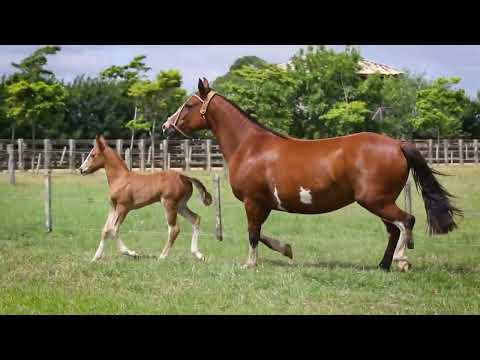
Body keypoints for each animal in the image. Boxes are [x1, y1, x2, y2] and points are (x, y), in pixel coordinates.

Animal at [80, 135, 212, 262]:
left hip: (169, 204)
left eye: (93, 155)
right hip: (180, 205)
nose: (81, 169)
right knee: (195, 219)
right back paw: (198, 254)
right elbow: (105, 230)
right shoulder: (113, 207)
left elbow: (113, 229)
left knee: (174, 229)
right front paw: (95, 258)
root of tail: (184, 177)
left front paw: (132, 253)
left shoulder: (123, 207)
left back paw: (162, 257)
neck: (120, 179)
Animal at [160, 77, 462, 272]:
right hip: (379, 202)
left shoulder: (253, 202)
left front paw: (250, 263)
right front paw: (286, 249)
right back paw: (383, 265)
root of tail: (397, 144)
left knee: (406, 221)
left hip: (376, 201)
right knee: (393, 229)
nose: (166, 126)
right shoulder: (264, 204)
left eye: (189, 105)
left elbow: (253, 234)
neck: (250, 146)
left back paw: (401, 261)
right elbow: (262, 234)